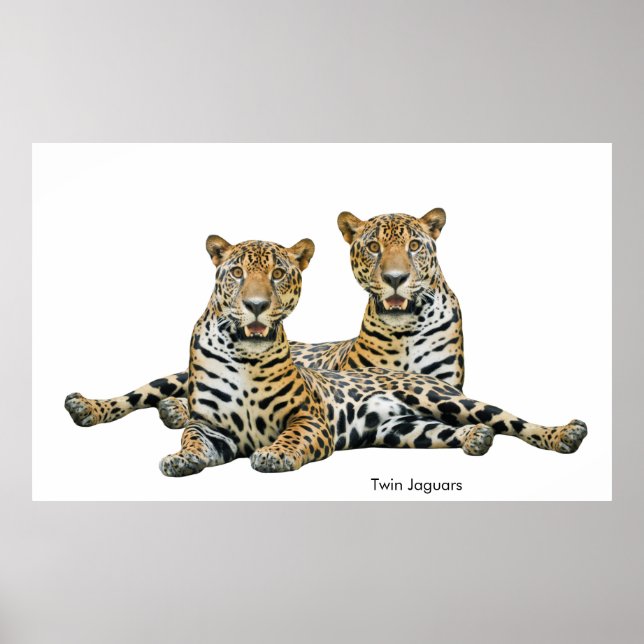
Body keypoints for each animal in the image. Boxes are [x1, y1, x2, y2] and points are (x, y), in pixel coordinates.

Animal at [65, 208, 464, 431]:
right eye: (373, 247)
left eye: (414, 246)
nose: (396, 278)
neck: (404, 329)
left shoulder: (446, 385)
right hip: (173, 377)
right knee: (142, 394)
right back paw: (90, 407)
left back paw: (172, 411)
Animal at [68, 236, 587, 476]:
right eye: (236, 273)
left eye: (279, 273)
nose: (255, 306)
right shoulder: (211, 427)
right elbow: (193, 439)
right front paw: (179, 459)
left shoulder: (310, 419)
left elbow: (292, 438)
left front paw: (273, 455)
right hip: (405, 430)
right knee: (146, 393)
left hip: (441, 397)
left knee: (507, 419)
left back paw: (565, 433)